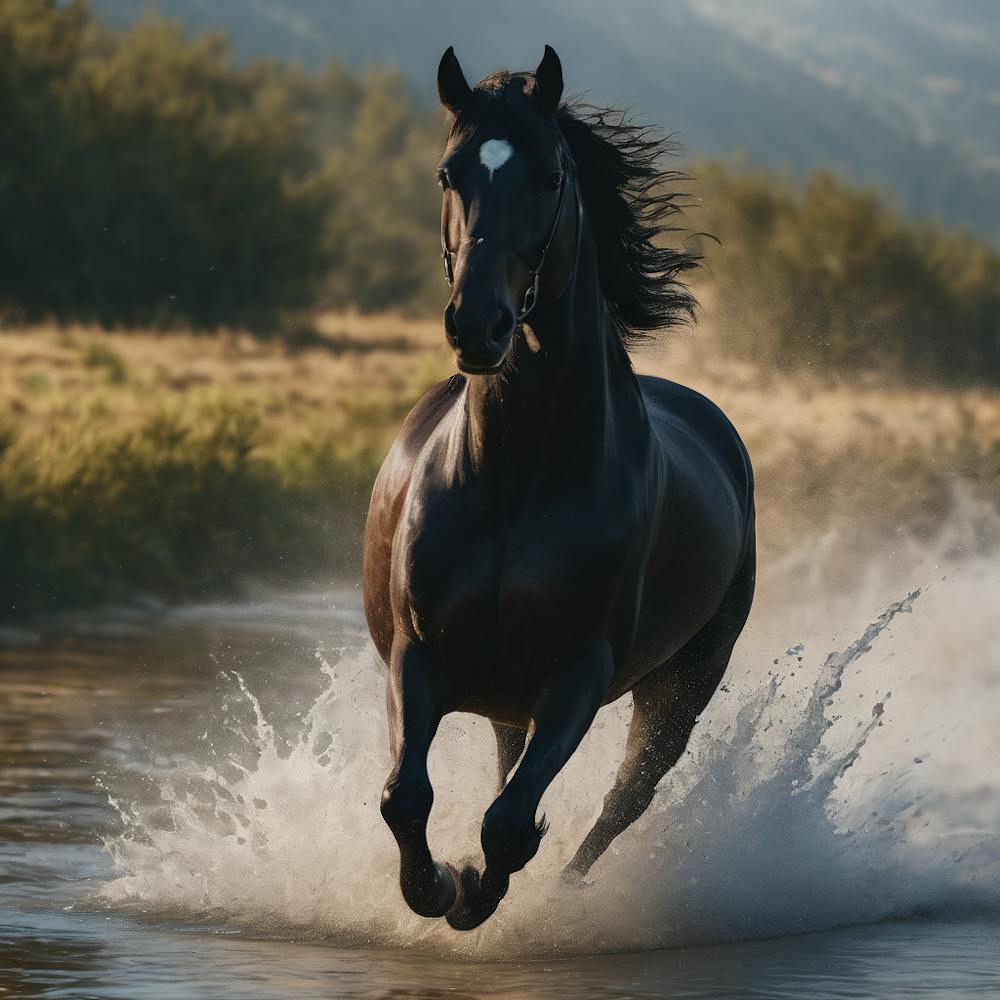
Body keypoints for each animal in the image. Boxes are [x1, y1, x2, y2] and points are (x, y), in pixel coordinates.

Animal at [362, 45, 755, 931]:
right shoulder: (418, 652)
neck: (515, 483)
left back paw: (565, 892)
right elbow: (406, 795)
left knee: (622, 802)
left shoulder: (577, 675)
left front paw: (471, 893)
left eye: (548, 176)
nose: (478, 325)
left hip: (679, 689)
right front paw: (439, 885)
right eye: (448, 173)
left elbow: (510, 823)